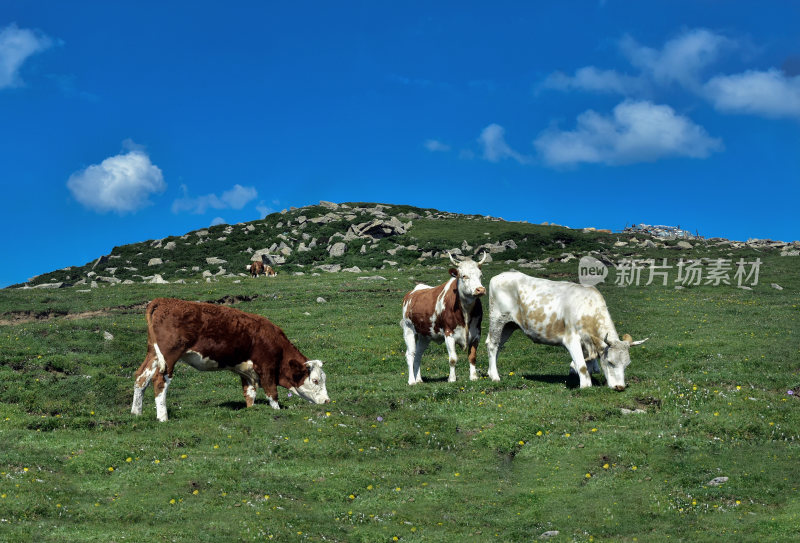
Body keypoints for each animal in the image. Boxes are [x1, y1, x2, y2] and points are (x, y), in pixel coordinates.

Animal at [130, 298, 328, 420]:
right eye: (315, 380)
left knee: (141, 378)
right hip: (169, 355)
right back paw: (163, 418)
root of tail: (163, 301)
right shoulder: (267, 368)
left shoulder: (248, 373)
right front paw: (276, 411)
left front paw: (253, 411)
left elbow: (250, 394)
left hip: (153, 354)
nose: (327, 401)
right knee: (159, 381)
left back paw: (136, 413)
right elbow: (272, 393)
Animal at [400, 253, 488, 384]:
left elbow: (472, 357)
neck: (465, 312)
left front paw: (473, 377)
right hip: (408, 329)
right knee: (411, 354)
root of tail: (411, 293)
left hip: (424, 335)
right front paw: (452, 378)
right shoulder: (448, 333)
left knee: (419, 355)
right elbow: (453, 359)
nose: (480, 289)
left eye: (480, 275)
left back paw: (419, 379)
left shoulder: (477, 333)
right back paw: (411, 381)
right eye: (464, 276)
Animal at [484, 272, 648, 392]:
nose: (620, 387)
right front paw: (585, 386)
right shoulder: (571, 339)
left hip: (509, 326)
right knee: (492, 344)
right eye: (610, 362)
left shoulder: (587, 344)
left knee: (498, 345)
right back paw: (495, 377)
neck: (588, 309)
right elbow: (582, 366)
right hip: (497, 318)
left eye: (627, 364)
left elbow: (588, 365)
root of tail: (499, 276)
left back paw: (491, 372)